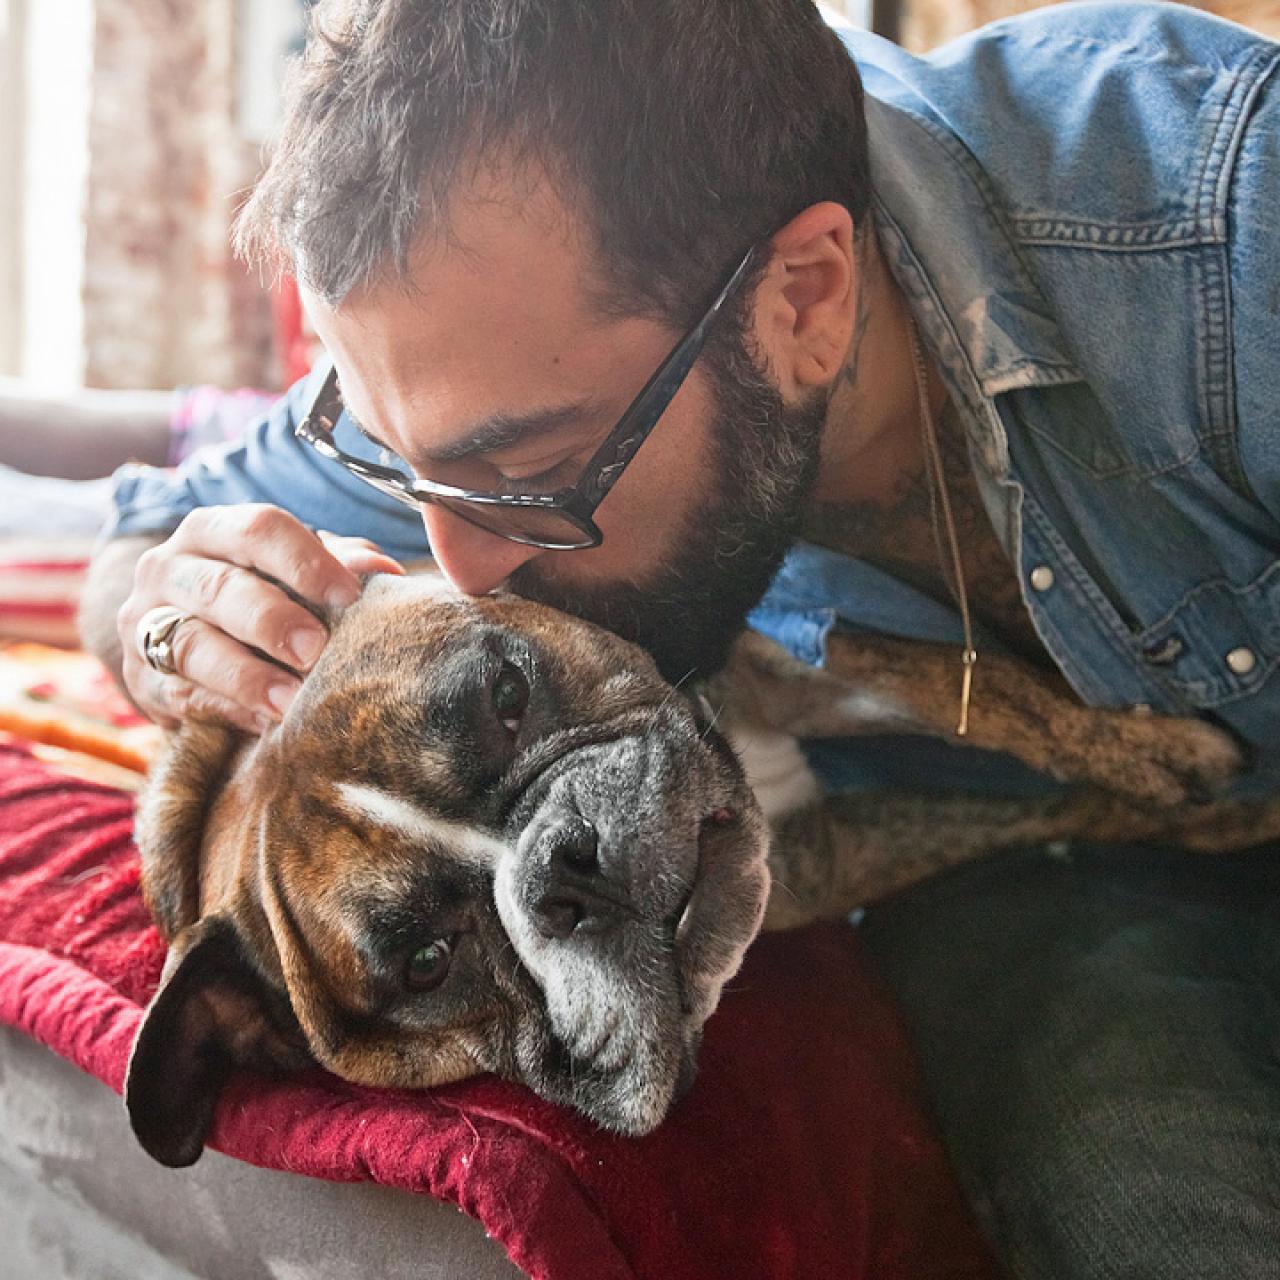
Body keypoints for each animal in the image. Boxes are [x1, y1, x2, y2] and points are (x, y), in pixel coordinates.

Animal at [122, 568, 1280, 1162]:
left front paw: (1158, 754)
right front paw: (1208, 805)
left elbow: (961, 683)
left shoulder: (779, 655)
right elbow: (1000, 801)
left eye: (508, 694)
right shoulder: (832, 854)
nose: (565, 865)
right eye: (424, 965)